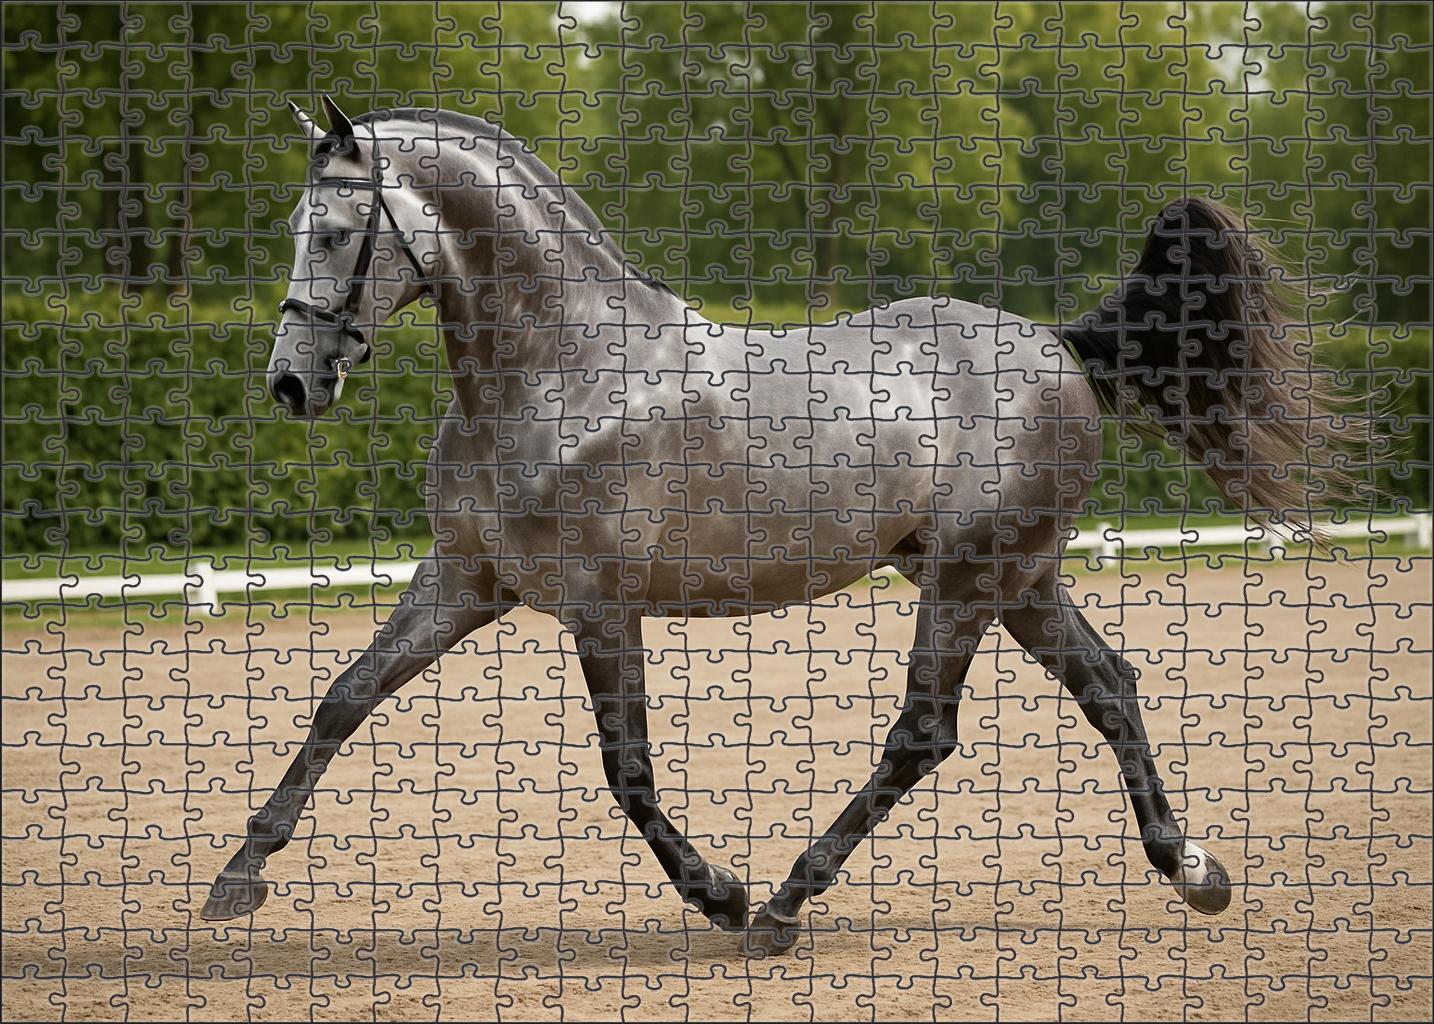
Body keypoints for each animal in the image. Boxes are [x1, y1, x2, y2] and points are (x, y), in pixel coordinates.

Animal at [202, 97, 1343, 957]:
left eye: (337, 233)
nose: (292, 384)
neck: (561, 369)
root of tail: (1055, 346)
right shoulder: (464, 582)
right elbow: (343, 700)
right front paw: (237, 876)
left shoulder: (600, 607)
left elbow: (627, 770)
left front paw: (721, 893)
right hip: (1018, 581)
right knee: (1109, 686)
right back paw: (1193, 868)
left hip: (972, 580)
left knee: (923, 733)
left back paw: (787, 904)